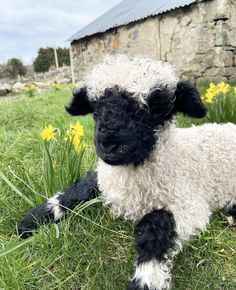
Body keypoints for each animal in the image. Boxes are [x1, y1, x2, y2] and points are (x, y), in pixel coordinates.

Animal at [18, 55, 236, 290]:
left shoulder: (189, 205)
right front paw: (34, 220)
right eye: (96, 108)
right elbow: (77, 190)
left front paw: (147, 279)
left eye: (155, 108)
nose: (109, 144)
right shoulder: (105, 178)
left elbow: (155, 225)